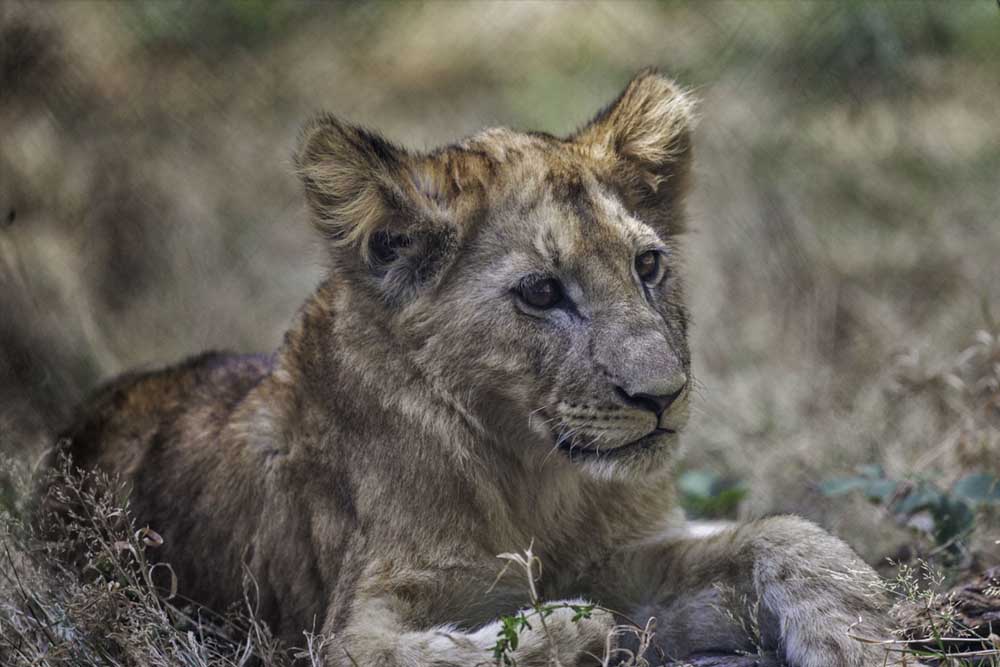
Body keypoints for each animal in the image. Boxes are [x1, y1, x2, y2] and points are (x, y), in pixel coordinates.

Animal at [47, 70, 899, 666]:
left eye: (648, 265)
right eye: (542, 291)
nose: (662, 396)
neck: (527, 475)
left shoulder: (621, 550)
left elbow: (783, 532)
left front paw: (861, 636)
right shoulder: (346, 626)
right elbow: (470, 646)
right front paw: (574, 629)